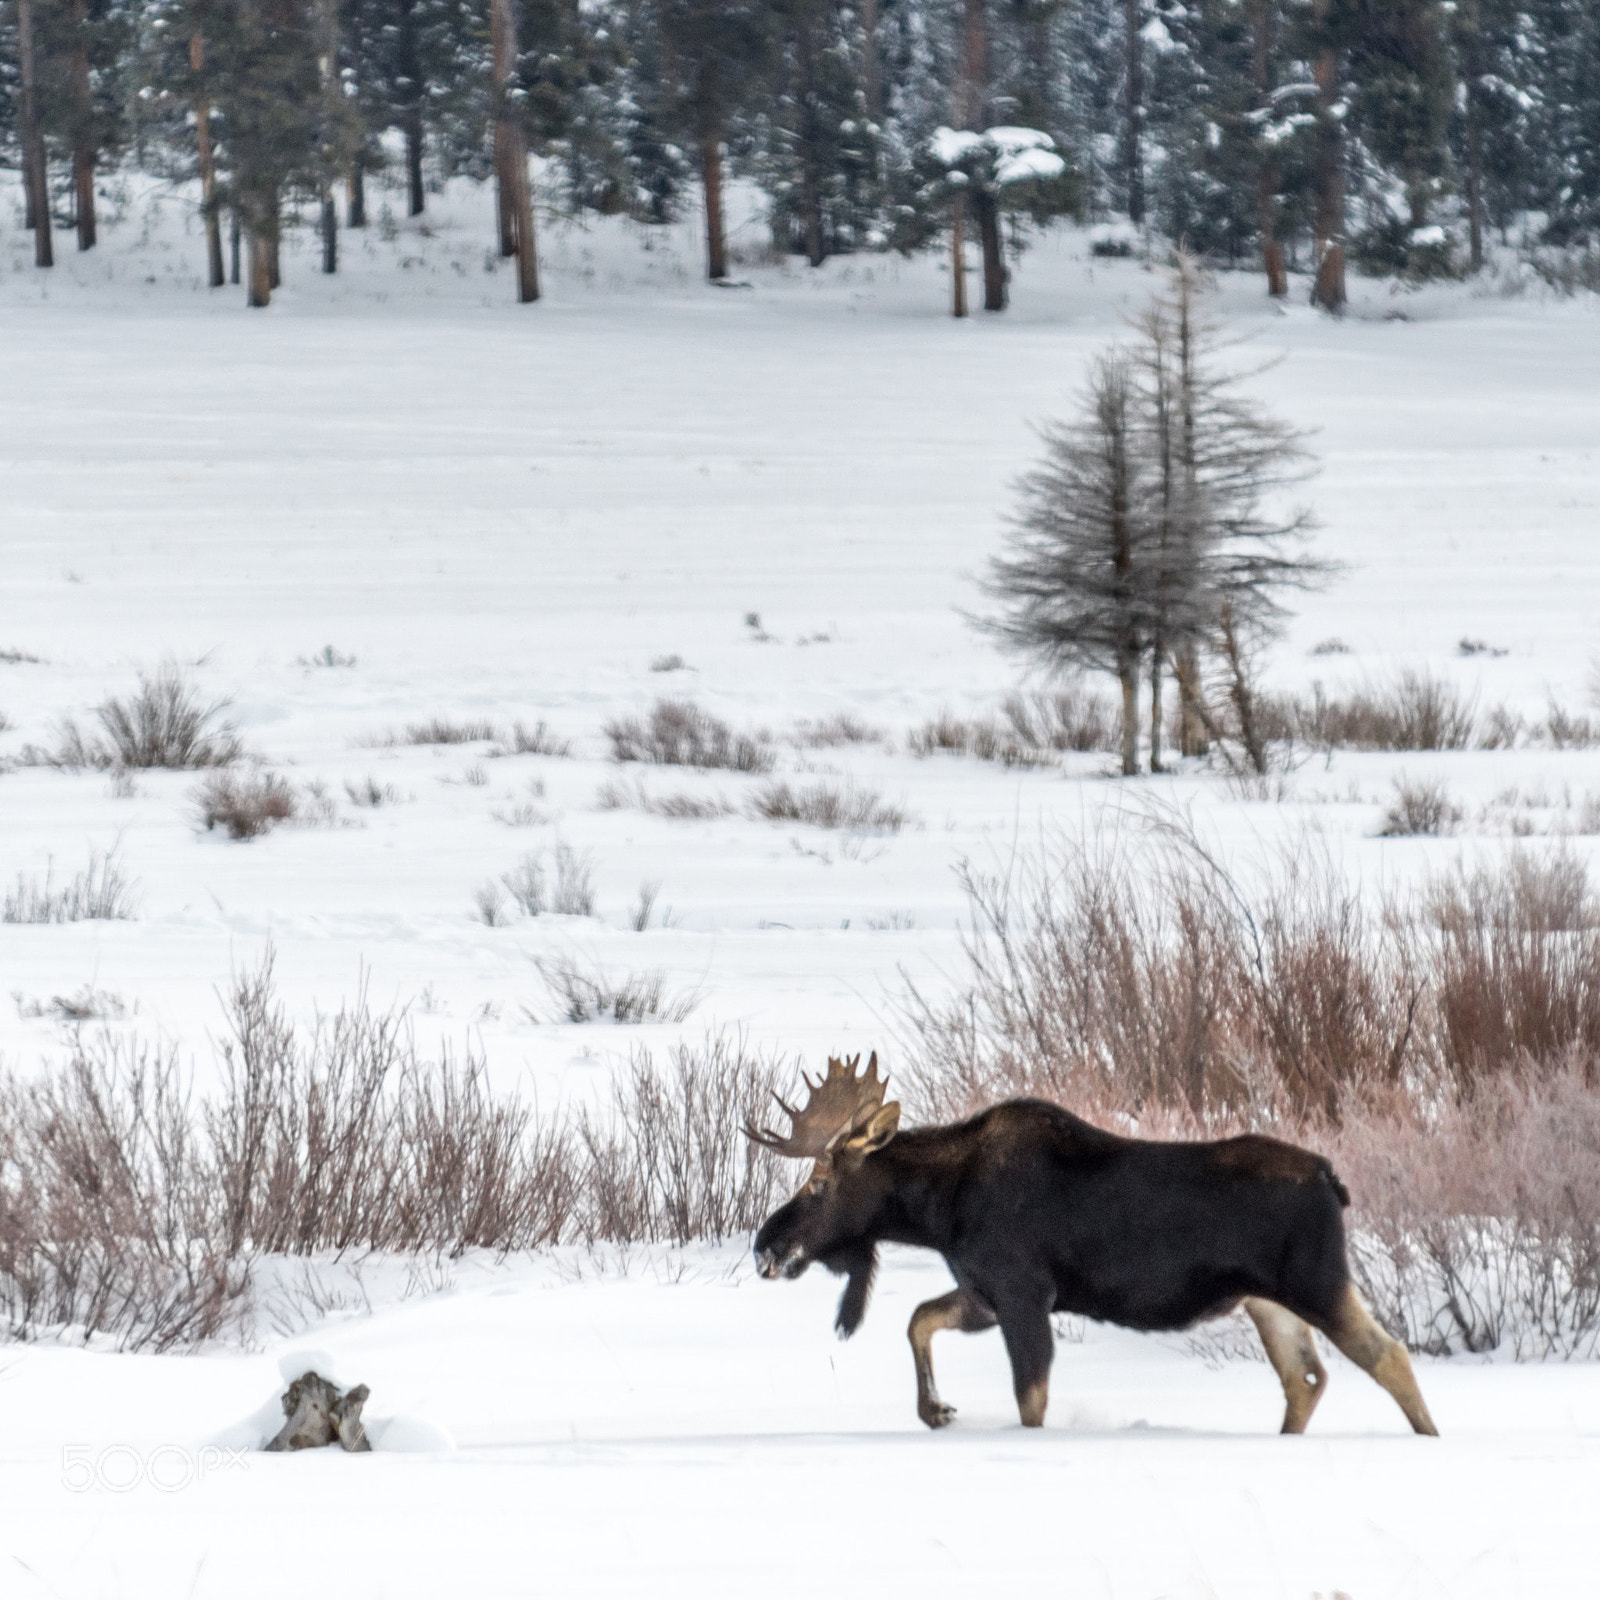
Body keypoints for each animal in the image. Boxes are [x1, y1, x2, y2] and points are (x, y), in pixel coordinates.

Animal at [747, 1053, 1437, 1436]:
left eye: (819, 1182)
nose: (766, 1248)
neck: (939, 1209)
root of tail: (1332, 1179)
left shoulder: (1022, 1292)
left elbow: (1030, 1399)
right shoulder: (986, 1293)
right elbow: (919, 1319)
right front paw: (936, 1410)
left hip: (1317, 1281)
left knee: (1389, 1355)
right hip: (1268, 1300)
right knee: (1307, 1378)